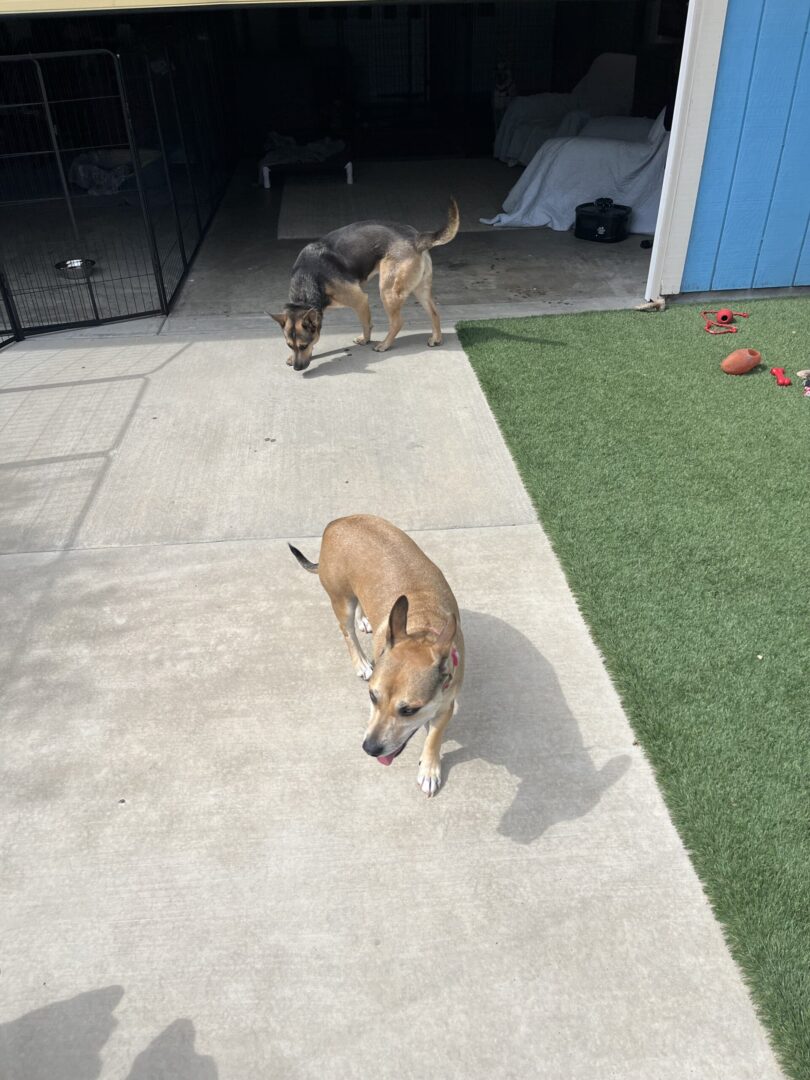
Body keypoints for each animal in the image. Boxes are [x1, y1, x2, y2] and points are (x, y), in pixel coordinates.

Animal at [273, 198, 460, 371]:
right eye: (289, 345)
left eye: (303, 346)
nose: (297, 368)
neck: (308, 280)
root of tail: (416, 238)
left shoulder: (360, 300)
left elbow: (365, 323)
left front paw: (365, 339)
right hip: (420, 289)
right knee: (434, 312)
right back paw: (436, 338)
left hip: (388, 291)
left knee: (397, 322)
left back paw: (385, 344)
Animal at [289, 509, 462, 799]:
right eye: (372, 696)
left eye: (409, 710)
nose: (369, 749)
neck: (422, 626)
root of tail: (337, 523)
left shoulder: (446, 705)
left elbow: (434, 736)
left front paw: (429, 767)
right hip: (341, 600)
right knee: (347, 631)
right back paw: (360, 661)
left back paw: (365, 619)